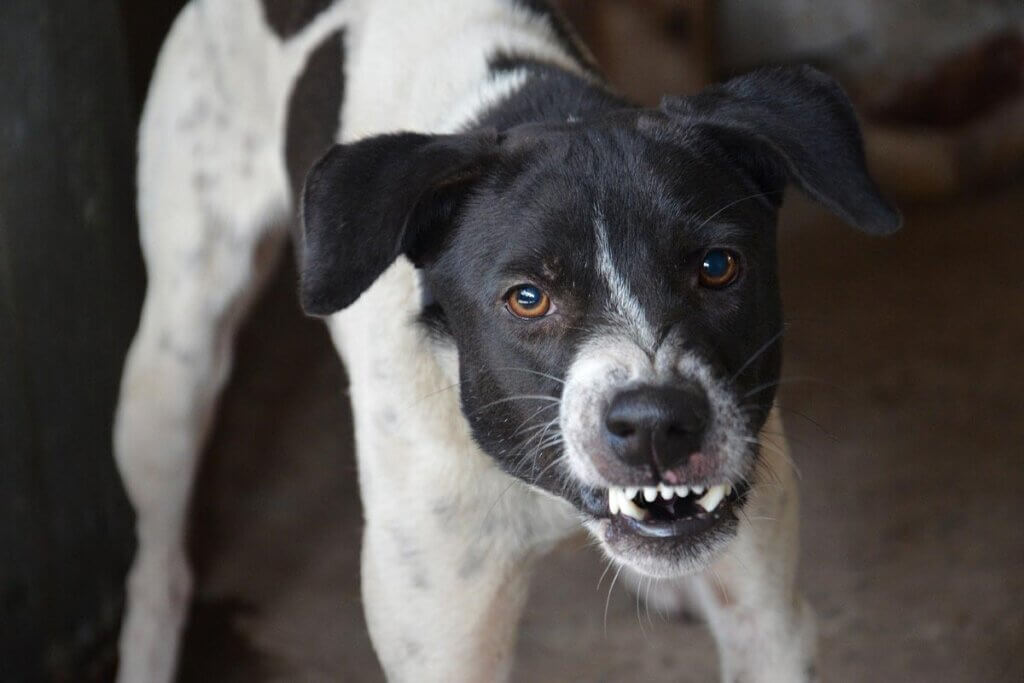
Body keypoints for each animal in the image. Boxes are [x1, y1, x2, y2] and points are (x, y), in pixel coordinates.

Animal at [112, 0, 897, 679]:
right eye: (527, 297)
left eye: (717, 266)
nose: (656, 424)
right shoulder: (444, 643)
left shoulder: (769, 622)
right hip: (174, 361)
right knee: (158, 560)